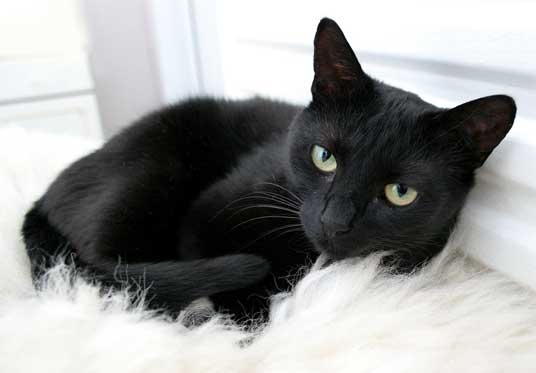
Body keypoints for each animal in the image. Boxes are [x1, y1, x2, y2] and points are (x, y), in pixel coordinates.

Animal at [21, 18, 516, 318]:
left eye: (400, 192)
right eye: (324, 156)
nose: (334, 221)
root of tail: (41, 198)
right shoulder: (205, 215)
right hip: (146, 177)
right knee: (114, 279)